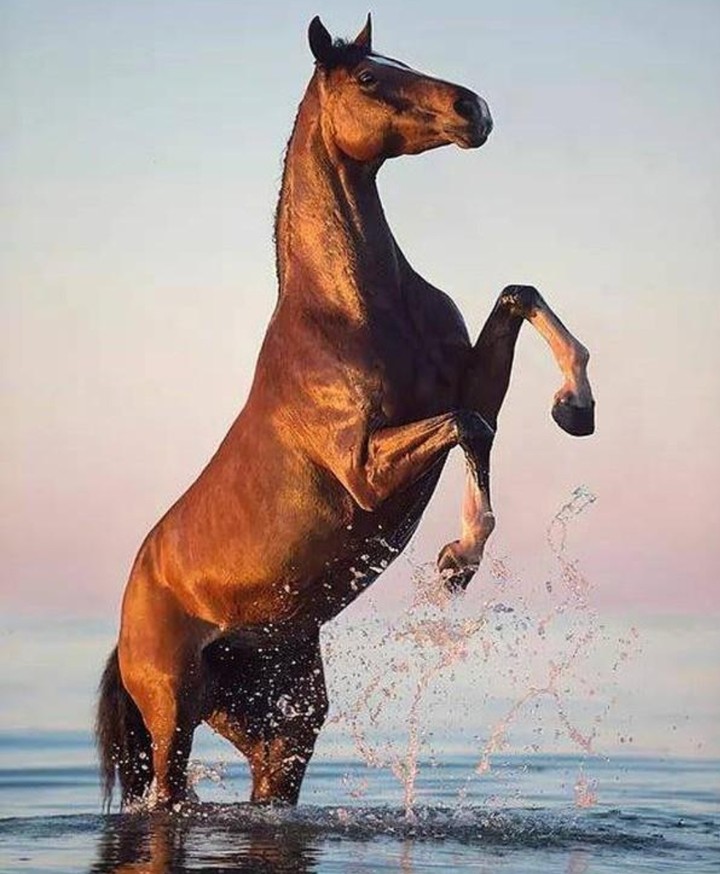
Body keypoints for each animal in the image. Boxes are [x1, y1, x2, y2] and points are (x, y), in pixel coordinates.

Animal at [96, 14, 594, 810]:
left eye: (401, 59)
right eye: (367, 77)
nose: (475, 109)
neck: (355, 307)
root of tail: (128, 616)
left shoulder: (466, 383)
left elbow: (517, 303)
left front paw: (576, 405)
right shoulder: (365, 465)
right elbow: (471, 430)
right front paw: (458, 559)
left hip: (285, 727)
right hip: (173, 712)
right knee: (167, 792)